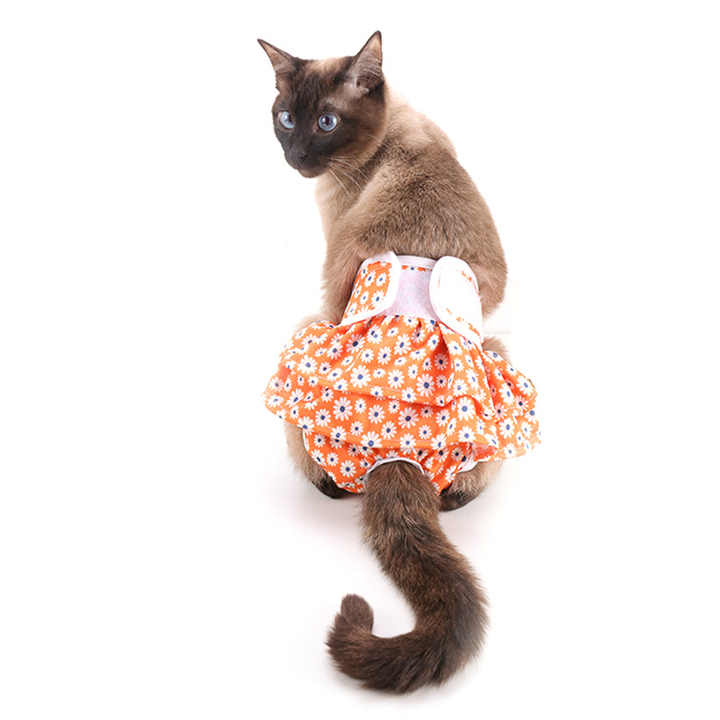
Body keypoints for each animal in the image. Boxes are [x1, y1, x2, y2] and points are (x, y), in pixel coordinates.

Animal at [259, 32, 512, 692]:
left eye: (325, 123)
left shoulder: (331, 284)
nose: (297, 156)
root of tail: (397, 457)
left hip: (308, 325)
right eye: (286, 117)